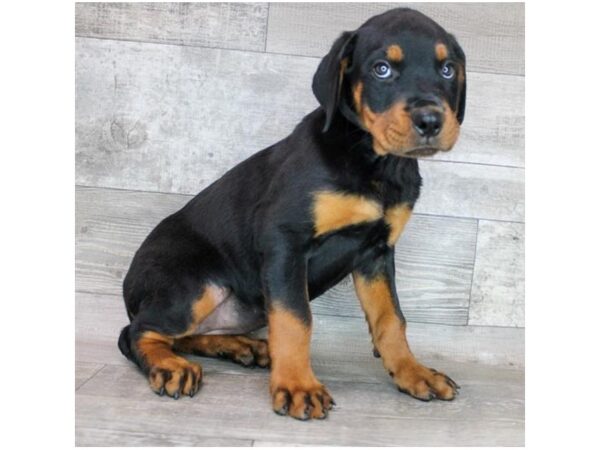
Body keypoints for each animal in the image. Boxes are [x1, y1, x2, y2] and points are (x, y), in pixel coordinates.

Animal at [117, 7, 464, 422]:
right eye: (382, 69)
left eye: (447, 69)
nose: (430, 121)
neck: (375, 162)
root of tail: (128, 282)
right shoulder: (285, 241)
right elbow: (296, 319)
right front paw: (298, 386)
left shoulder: (376, 253)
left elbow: (391, 319)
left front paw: (413, 373)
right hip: (195, 286)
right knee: (137, 333)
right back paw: (170, 366)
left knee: (184, 336)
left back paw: (241, 346)